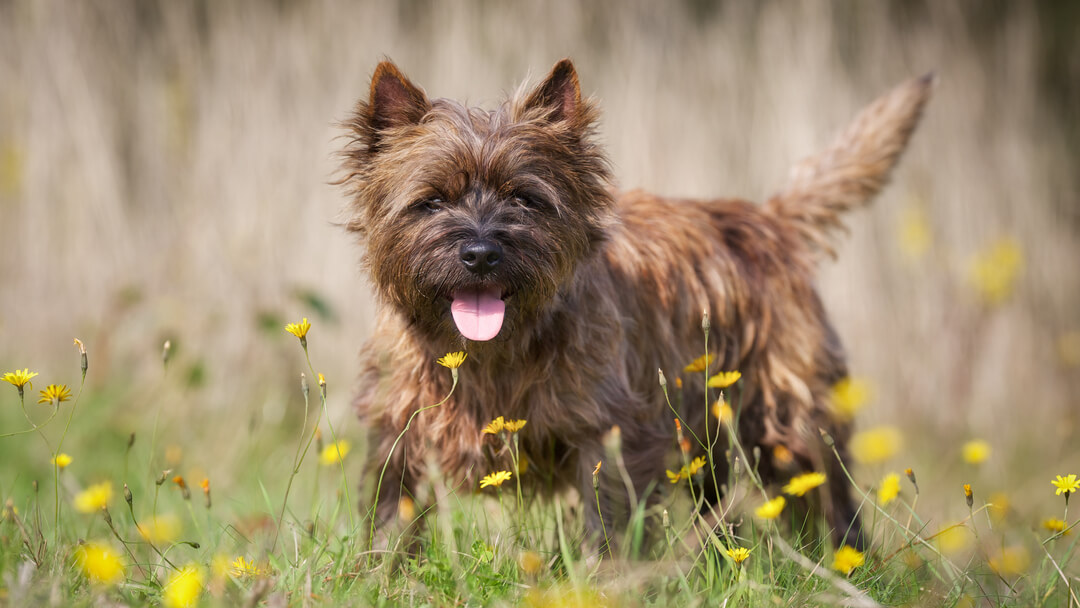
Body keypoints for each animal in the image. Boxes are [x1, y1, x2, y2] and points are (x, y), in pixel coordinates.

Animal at [341, 59, 933, 548]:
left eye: (525, 199)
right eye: (431, 201)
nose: (481, 253)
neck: (490, 354)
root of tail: (769, 219)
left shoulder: (611, 433)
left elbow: (606, 523)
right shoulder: (398, 427)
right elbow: (390, 516)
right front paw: (381, 575)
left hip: (788, 419)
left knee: (827, 499)